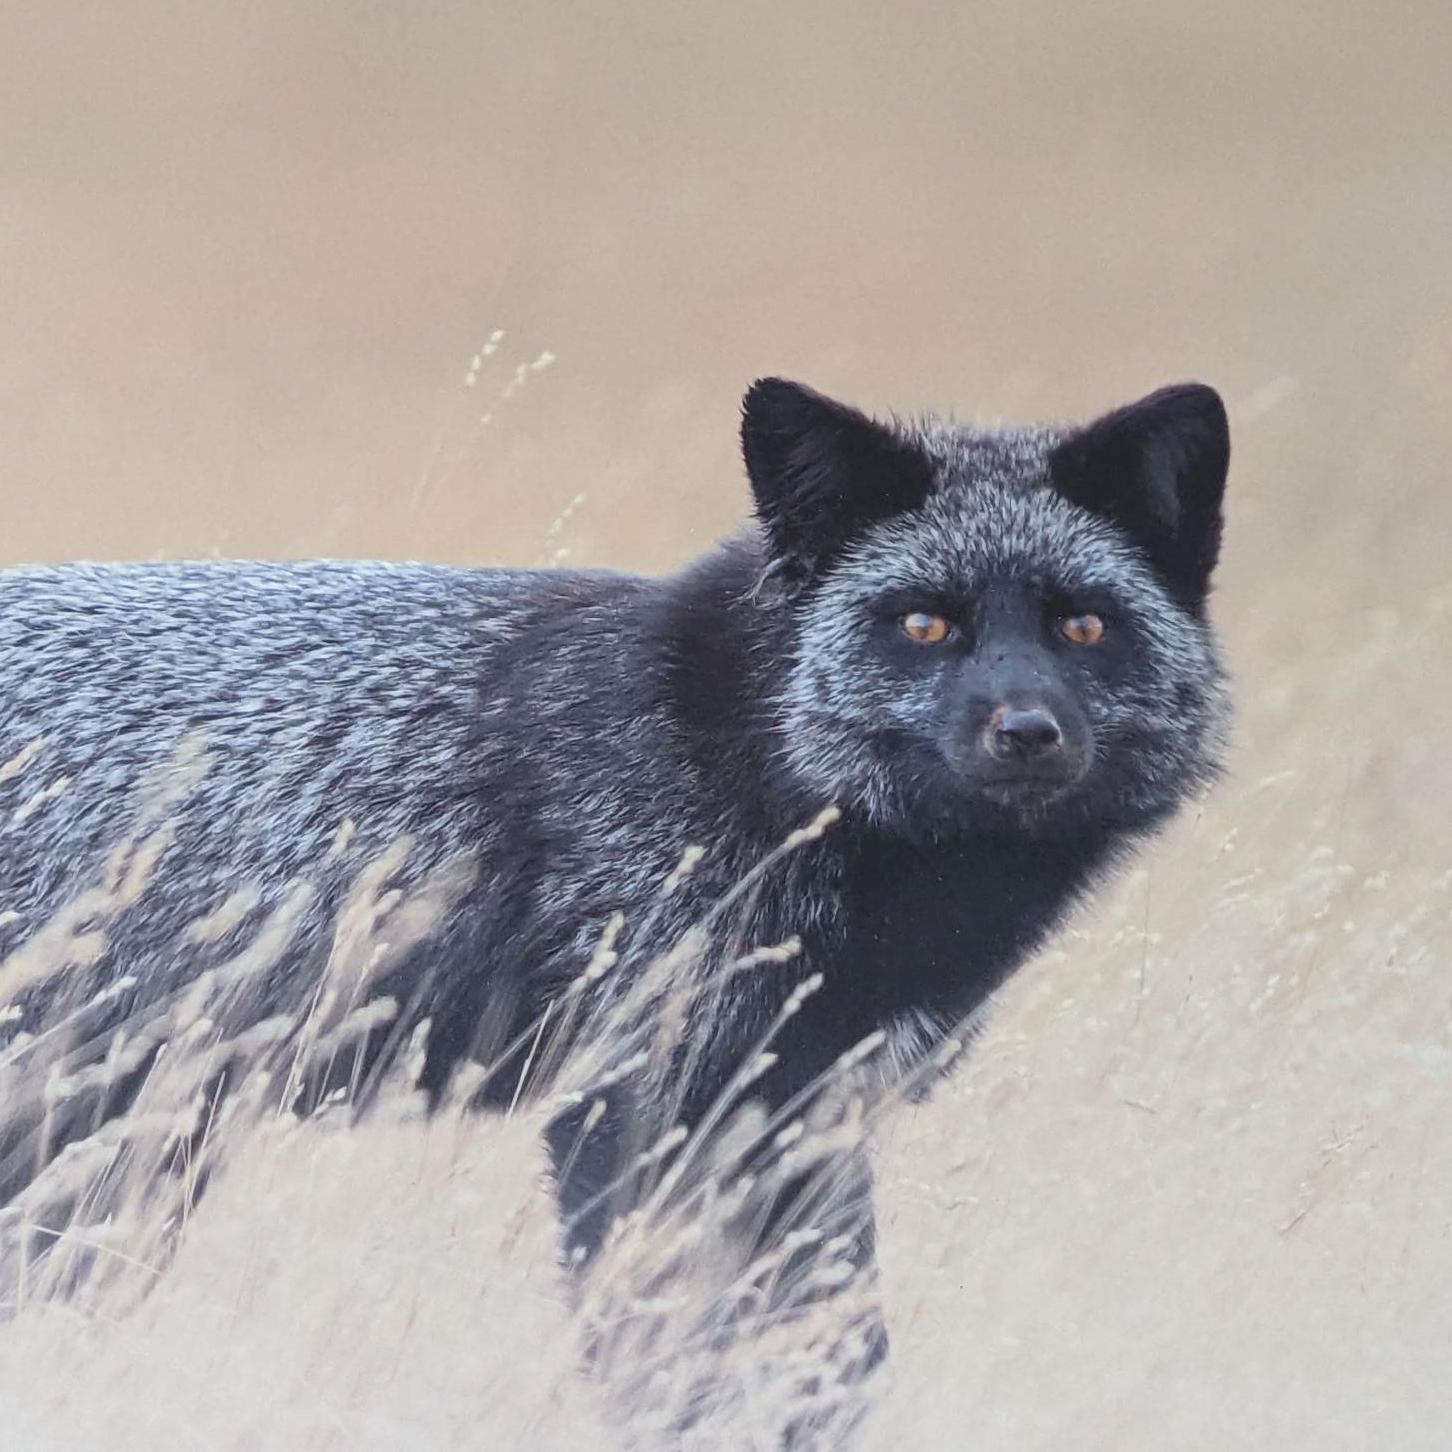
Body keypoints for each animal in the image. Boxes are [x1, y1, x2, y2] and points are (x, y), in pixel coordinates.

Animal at [0, 377, 1229, 1425]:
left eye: (1083, 626)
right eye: (925, 625)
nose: (1026, 732)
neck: (737, 751)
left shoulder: (801, 1119)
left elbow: (844, 1366)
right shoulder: (633, 1104)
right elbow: (655, 1365)